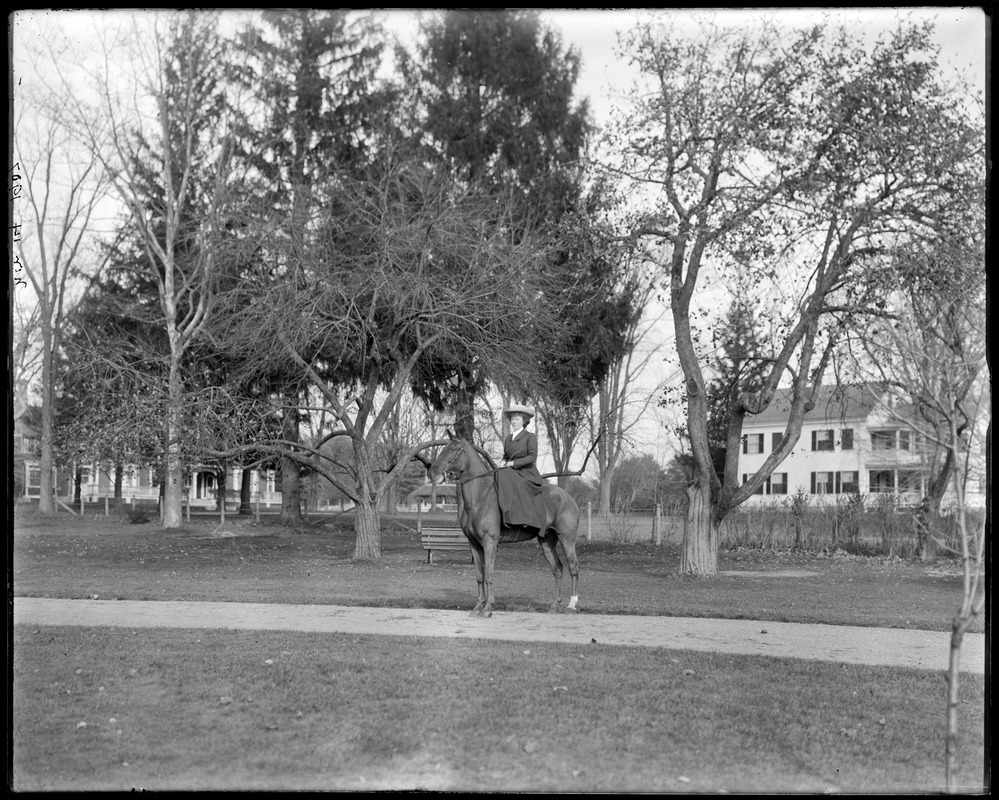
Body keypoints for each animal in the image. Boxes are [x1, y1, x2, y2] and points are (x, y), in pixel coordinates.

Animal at [426, 432, 584, 620]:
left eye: (454, 449)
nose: (432, 472)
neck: (479, 498)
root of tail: (568, 498)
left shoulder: (490, 542)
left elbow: (489, 574)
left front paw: (487, 608)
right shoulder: (474, 544)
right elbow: (479, 575)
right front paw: (478, 607)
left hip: (567, 540)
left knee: (573, 567)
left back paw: (572, 605)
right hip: (547, 542)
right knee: (557, 568)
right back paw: (555, 605)